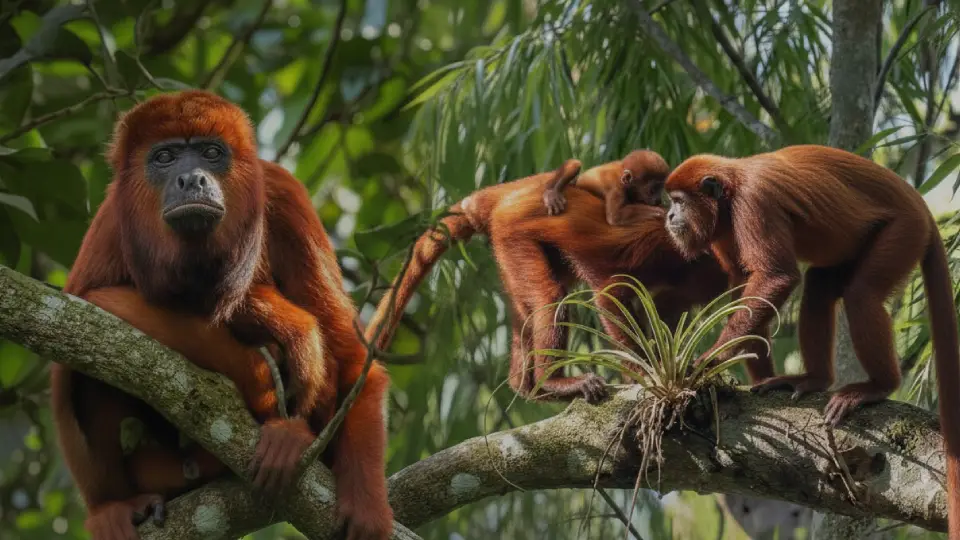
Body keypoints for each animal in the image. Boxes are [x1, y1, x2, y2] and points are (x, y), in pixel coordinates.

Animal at [52, 90, 392, 540]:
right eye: (165, 156)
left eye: (211, 153)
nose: (192, 179)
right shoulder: (111, 223)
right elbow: (73, 338)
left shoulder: (284, 195)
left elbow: (352, 354)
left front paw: (368, 504)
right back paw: (115, 508)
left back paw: (291, 433)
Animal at [366, 157, 734, 404]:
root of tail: (502, 197)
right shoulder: (655, 249)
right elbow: (608, 298)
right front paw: (645, 372)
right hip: (514, 235)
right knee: (548, 296)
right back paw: (552, 382)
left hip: (507, 250)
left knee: (526, 307)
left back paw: (525, 386)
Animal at [542, 149, 670, 225]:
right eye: (652, 190)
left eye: (660, 189)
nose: (658, 199)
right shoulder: (616, 188)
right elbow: (615, 216)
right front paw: (661, 211)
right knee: (575, 164)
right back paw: (551, 193)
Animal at [662, 144, 960, 538]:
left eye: (678, 201)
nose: (668, 215)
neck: (729, 192)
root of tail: (921, 206)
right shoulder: (722, 228)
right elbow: (744, 286)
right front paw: (755, 378)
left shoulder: (755, 203)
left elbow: (776, 278)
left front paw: (708, 362)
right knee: (819, 286)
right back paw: (814, 379)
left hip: (904, 232)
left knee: (861, 294)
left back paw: (878, 386)